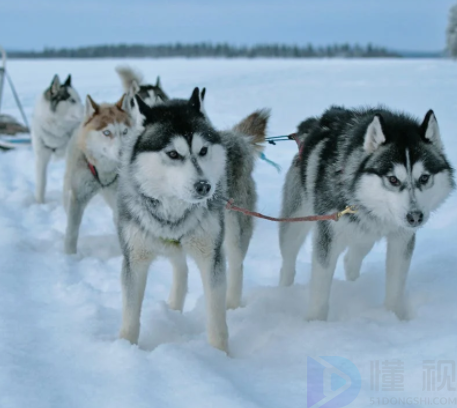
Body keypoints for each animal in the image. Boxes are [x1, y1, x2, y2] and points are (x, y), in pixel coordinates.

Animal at [31, 74, 83, 202]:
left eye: (79, 99)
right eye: (72, 100)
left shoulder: (71, 156)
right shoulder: (41, 157)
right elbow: (41, 183)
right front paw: (39, 203)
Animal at [62, 94, 132, 253]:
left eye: (125, 132)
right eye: (107, 132)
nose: (124, 153)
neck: (104, 170)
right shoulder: (78, 197)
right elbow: (72, 231)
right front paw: (69, 255)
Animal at [116, 89, 268, 350]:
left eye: (203, 150)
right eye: (173, 153)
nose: (204, 187)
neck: (174, 210)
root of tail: (234, 137)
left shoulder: (211, 257)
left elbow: (216, 318)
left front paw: (219, 354)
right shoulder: (134, 258)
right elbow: (130, 316)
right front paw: (126, 348)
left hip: (234, 231)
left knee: (236, 265)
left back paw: (233, 305)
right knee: (181, 268)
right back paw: (174, 308)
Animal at [278, 107, 452, 320]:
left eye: (424, 178)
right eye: (393, 179)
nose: (415, 217)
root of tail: (314, 124)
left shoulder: (401, 238)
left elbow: (396, 285)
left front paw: (394, 317)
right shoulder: (328, 237)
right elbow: (320, 288)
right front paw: (315, 322)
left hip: (365, 236)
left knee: (351, 260)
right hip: (295, 224)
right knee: (288, 262)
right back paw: (284, 290)